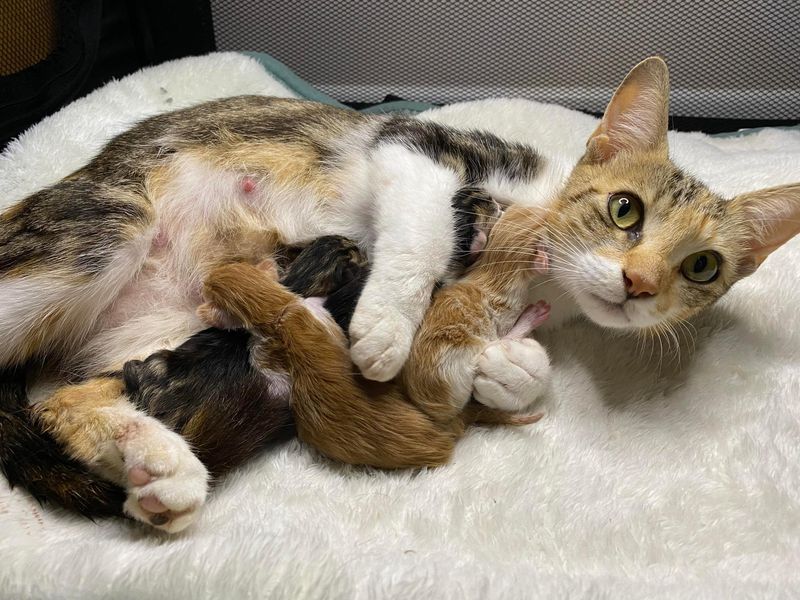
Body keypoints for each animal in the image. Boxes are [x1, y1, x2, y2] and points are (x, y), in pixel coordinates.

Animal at [1, 58, 800, 532]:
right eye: (625, 209)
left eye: (701, 267)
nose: (638, 284)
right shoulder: (418, 146)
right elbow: (419, 226)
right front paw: (387, 326)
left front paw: (507, 368)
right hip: (100, 233)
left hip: (165, 337)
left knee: (62, 400)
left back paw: (155, 462)